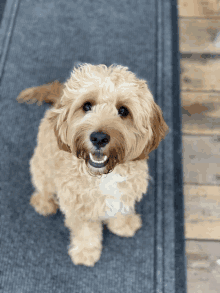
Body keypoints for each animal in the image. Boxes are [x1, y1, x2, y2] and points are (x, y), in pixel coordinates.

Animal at [16, 62, 168, 266]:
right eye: (87, 106)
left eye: (123, 111)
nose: (99, 137)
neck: (103, 174)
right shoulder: (77, 205)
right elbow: (85, 231)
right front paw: (86, 252)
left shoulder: (126, 191)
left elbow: (120, 209)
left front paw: (123, 225)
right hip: (42, 164)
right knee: (43, 186)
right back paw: (44, 203)